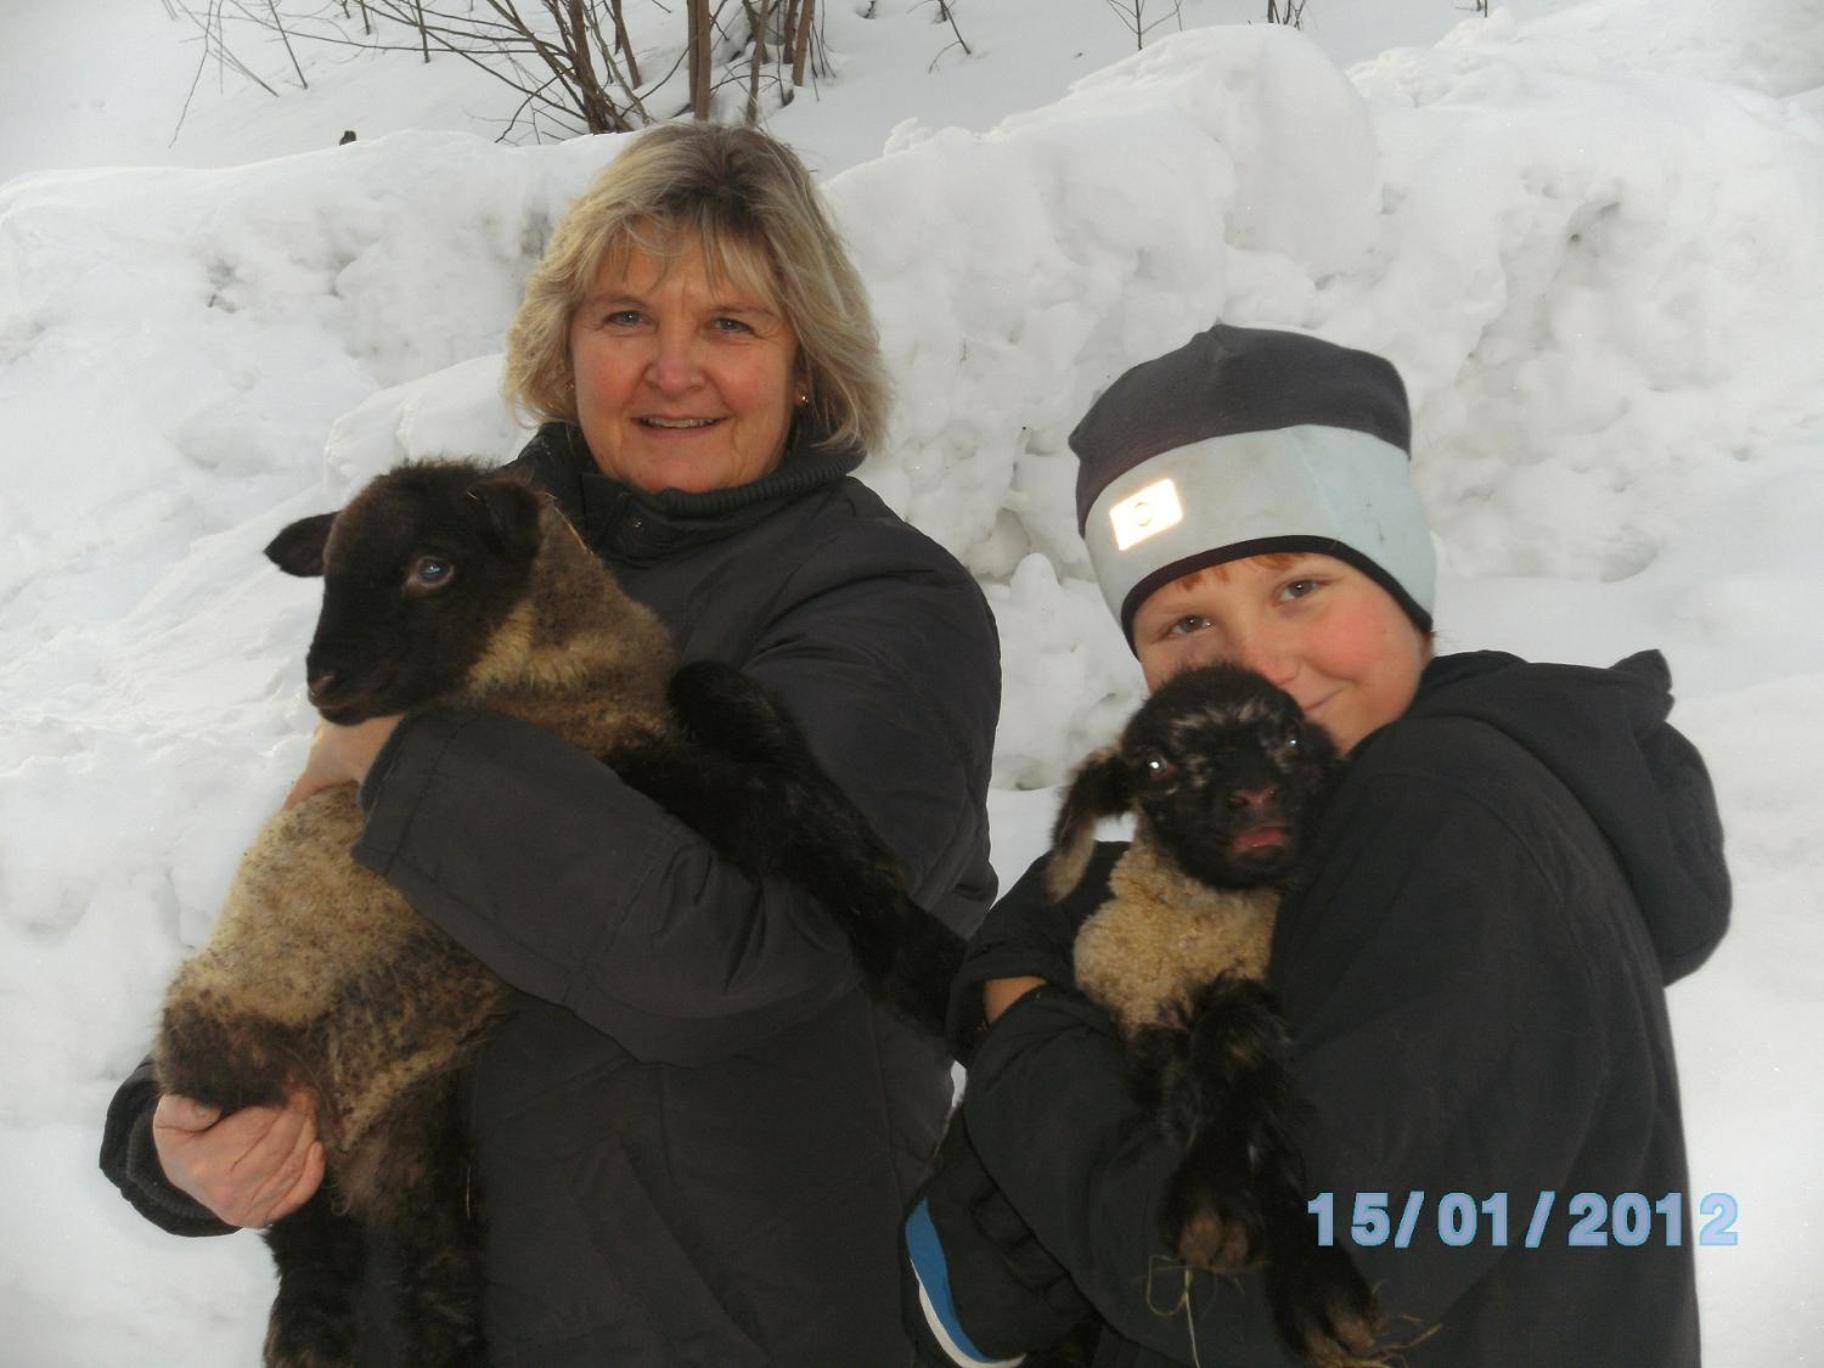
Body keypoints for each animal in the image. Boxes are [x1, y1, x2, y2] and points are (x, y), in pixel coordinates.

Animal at [1050, 671, 1386, 1368]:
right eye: (1154, 765)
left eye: (1292, 738)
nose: (1254, 795)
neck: (1196, 936)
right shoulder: (1138, 1009)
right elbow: (1183, 1087)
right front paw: (1215, 1207)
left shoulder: (1247, 984)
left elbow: (1238, 1043)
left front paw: (1319, 1288)